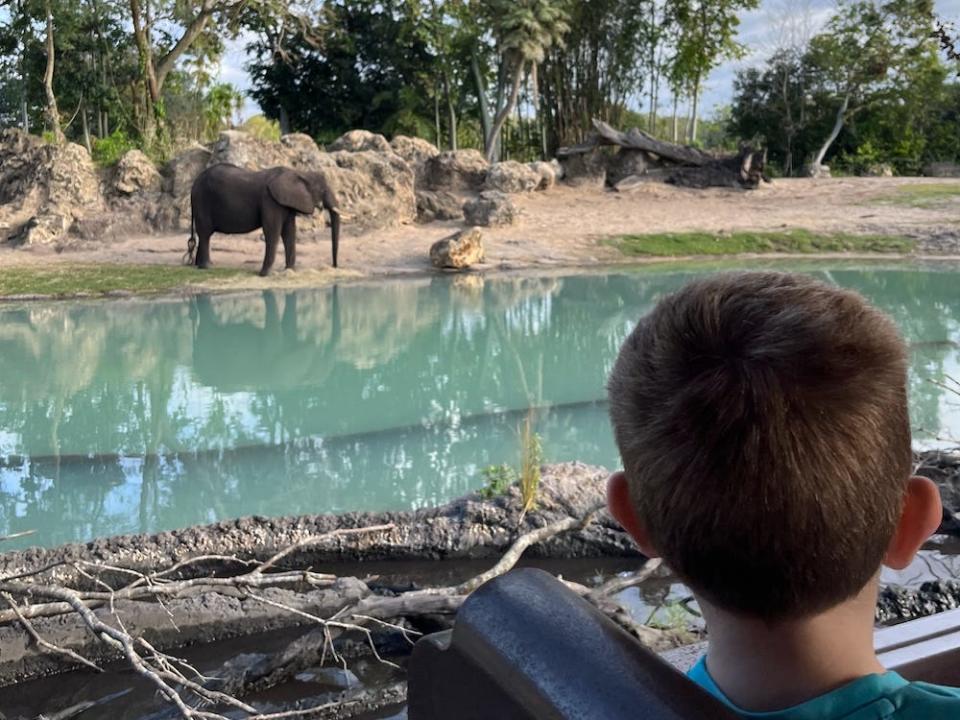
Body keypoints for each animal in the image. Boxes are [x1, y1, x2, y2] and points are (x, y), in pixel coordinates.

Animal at [188, 163, 344, 276]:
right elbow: (272, 232)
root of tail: (193, 184)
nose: (334, 266)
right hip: (202, 201)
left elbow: (289, 233)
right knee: (205, 233)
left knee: (203, 235)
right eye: (323, 190)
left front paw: (289, 271)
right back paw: (207, 267)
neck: (299, 173)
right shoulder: (270, 201)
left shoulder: (285, 203)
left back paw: (199, 265)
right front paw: (265, 275)